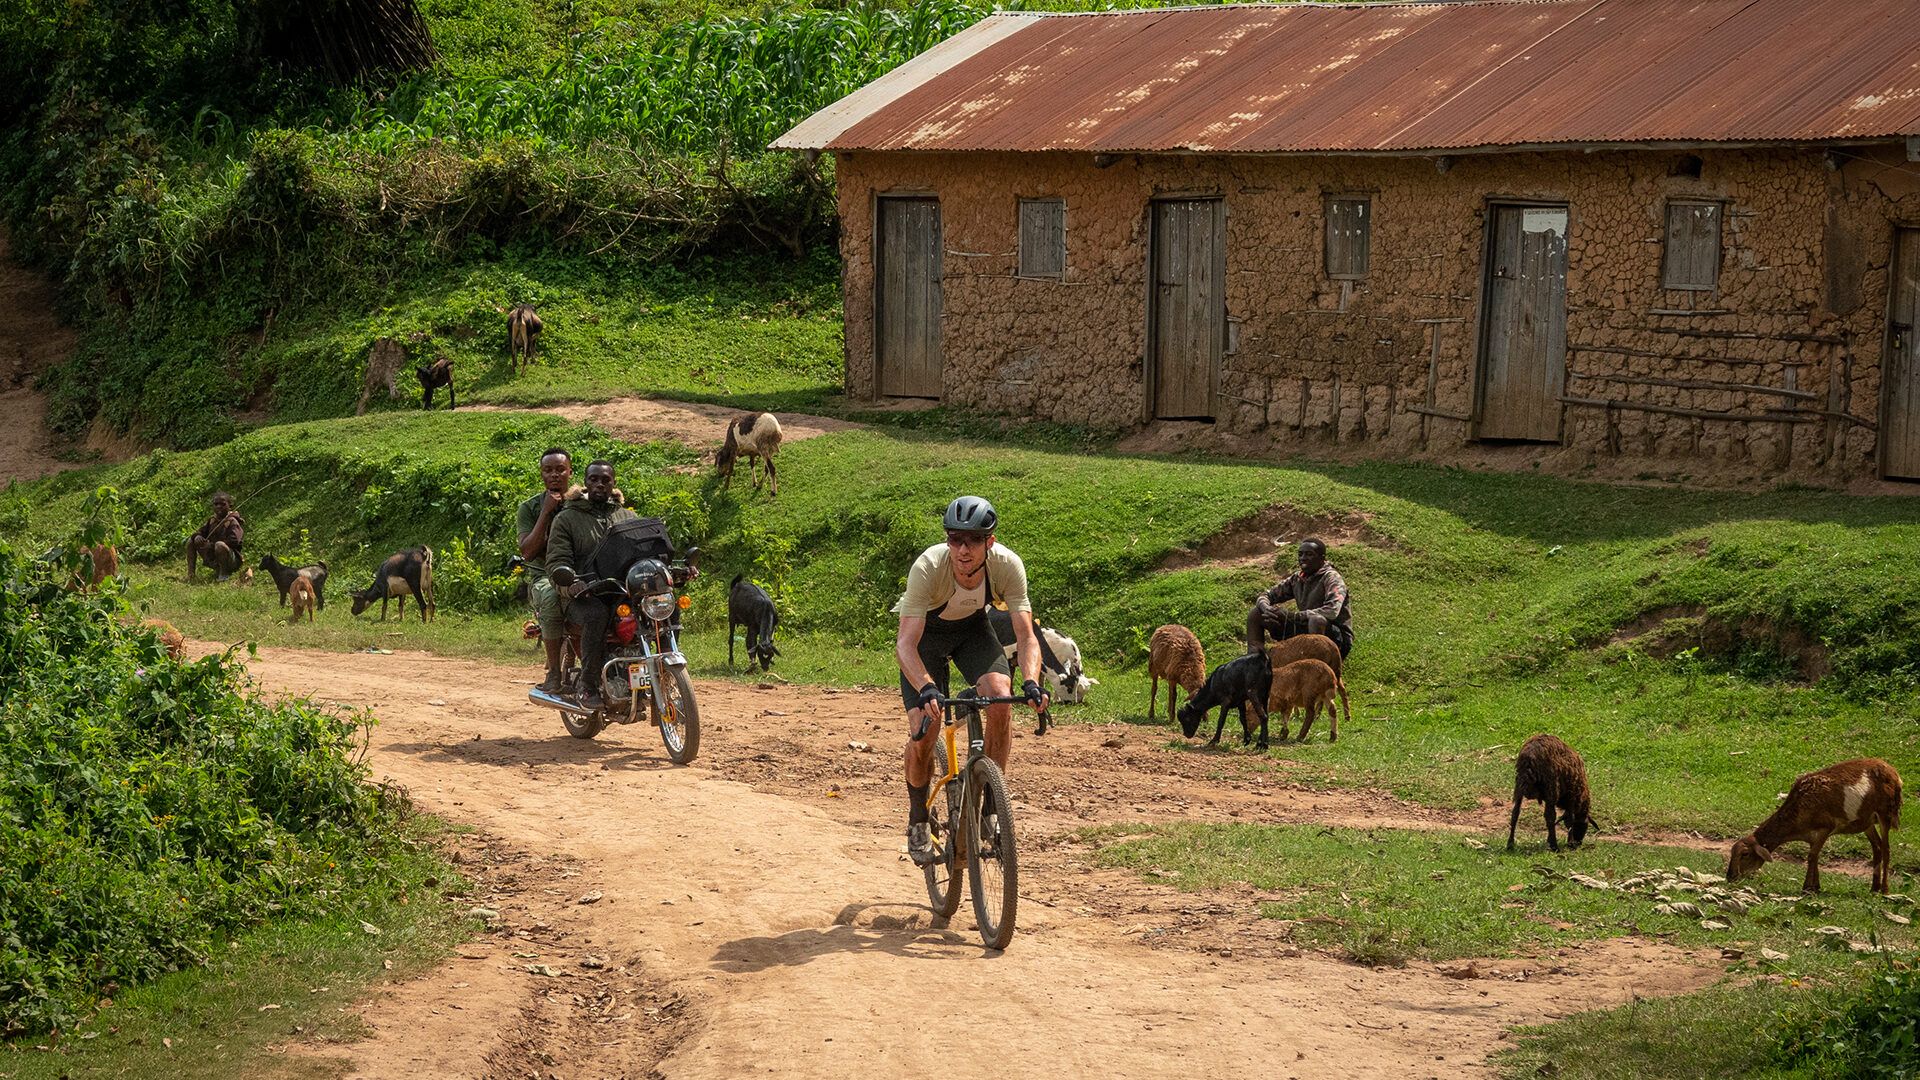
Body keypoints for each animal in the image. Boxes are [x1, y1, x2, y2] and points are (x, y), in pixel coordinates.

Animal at [1728, 753, 1904, 887]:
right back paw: (1874, 888)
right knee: (1877, 848)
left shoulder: (1825, 828)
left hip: (1886, 813)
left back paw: (1884, 890)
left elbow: (1812, 856)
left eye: (1745, 854)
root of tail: (1894, 772)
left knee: (1886, 849)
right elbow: (1815, 856)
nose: (1730, 876)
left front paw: (1807, 888)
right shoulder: (1813, 836)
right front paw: (1816, 887)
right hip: (1867, 821)